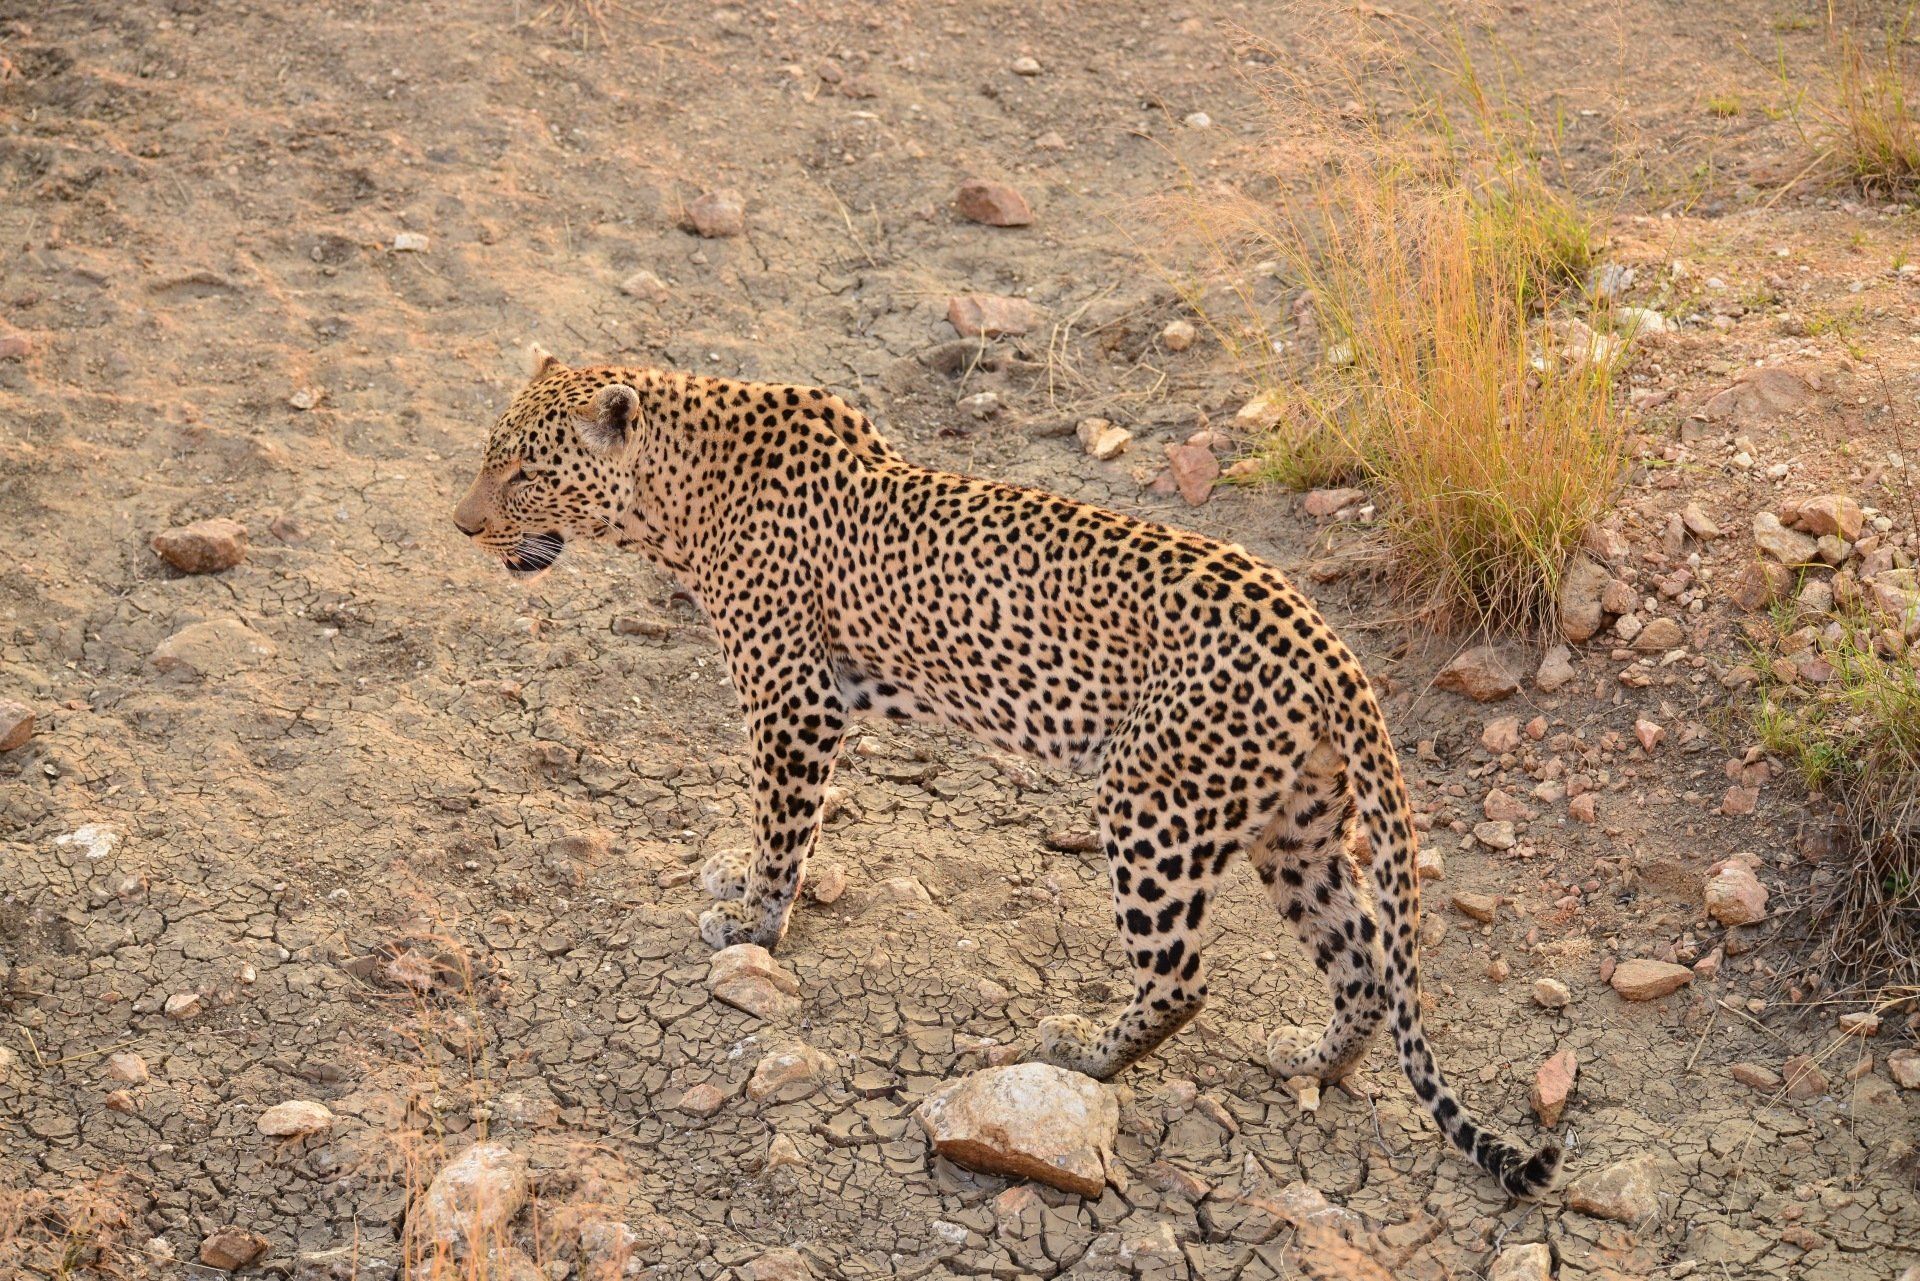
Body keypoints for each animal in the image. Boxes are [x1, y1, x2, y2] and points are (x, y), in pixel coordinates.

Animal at [450, 346, 1563, 1198]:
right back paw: (1308, 1059)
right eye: (488, 463)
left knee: (1183, 976)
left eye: (523, 475)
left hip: (1152, 805)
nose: (463, 528)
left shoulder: (794, 700)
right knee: (1365, 962)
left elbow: (781, 825)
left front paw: (753, 925)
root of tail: (1333, 650)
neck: (678, 496)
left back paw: (1076, 1053)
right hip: (1296, 827)